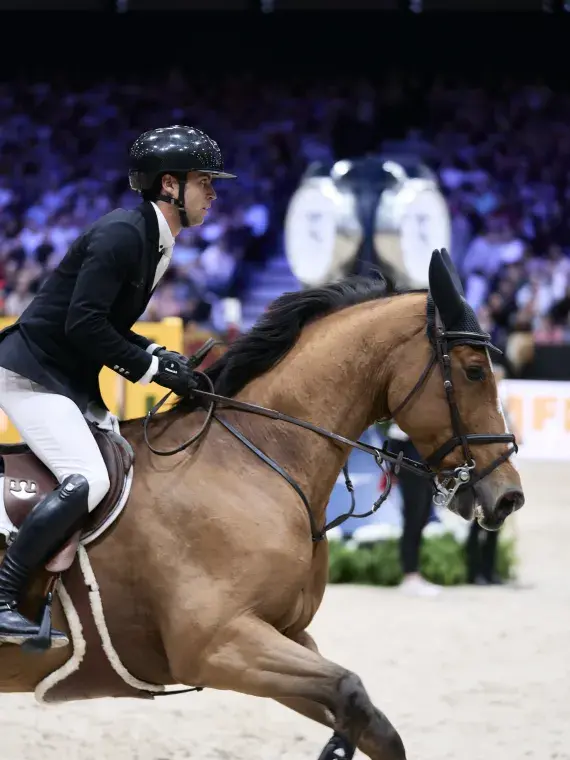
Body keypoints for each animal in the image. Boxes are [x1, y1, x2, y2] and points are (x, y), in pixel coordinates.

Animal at [0, 249, 524, 760]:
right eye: (474, 371)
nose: (509, 496)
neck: (252, 457)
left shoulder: (284, 636)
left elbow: (375, 725)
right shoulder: (219, 646)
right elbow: (349, 690)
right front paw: (336, 747)